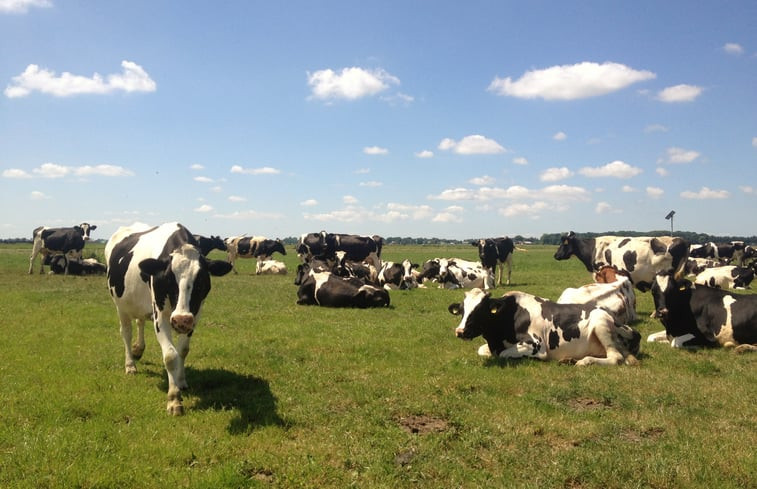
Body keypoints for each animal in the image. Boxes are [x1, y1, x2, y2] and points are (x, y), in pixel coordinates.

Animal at [105, 223, 232, 414]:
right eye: (169, 279)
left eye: (201, 280)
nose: (181, 319)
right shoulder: (161, 316)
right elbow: (171, 355)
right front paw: (174, 399)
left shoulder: (195, 314)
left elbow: (183, 351)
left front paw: (180, 382)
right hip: (120, 305)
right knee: (126, 332)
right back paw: (130, 364)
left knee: (140, 322)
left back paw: (138, 349)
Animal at [448, 288, 636, 364]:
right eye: (462, 310)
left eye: (480, 309)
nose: (460, 331)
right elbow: (482, 350)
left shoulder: (536, 345)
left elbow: (503, 354)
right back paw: (569, 360)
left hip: (600, 323)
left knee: (616, 357)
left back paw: (584, 362)